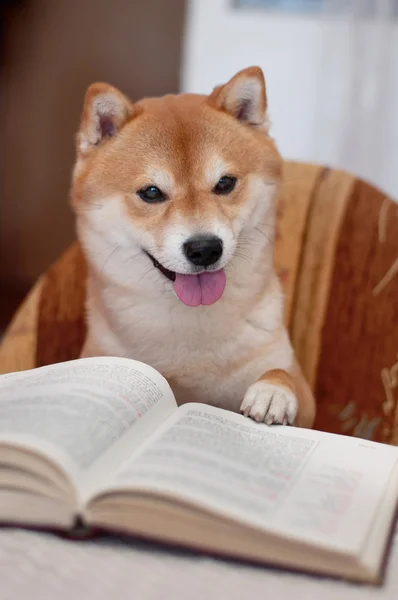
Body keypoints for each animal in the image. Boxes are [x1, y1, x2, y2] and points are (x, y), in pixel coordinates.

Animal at [70, 68, 316, 428]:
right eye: (151, 192)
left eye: (225, 183)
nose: (205, 248)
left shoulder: (298, 384)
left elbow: (282, 374)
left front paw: (273, 391)